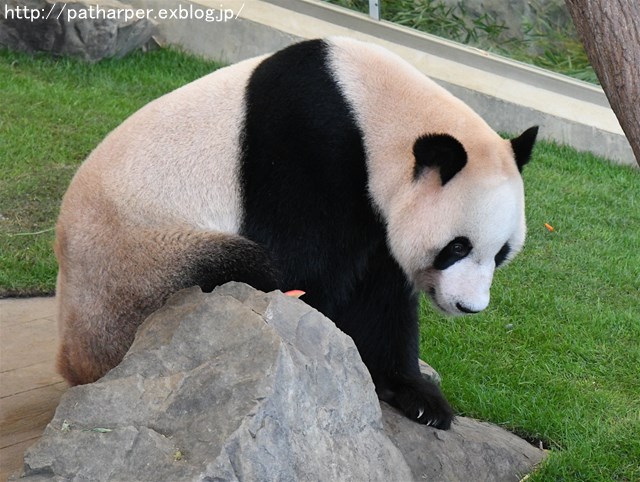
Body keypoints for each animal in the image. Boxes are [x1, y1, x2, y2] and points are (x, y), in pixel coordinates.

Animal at [55, 36, 536, 430]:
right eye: (457, 247)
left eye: (501, 253)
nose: (468, 306)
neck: (372, 108)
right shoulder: (307, 148)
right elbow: (304, 269)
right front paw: (326, 364)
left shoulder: (376, 212)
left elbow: (382, 296)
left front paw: (418, 397)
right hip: (140, 261)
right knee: (239, 268)